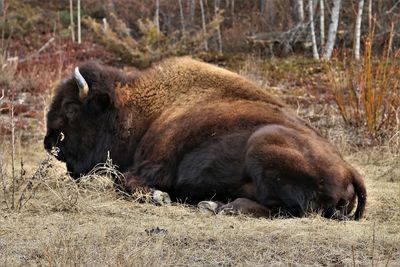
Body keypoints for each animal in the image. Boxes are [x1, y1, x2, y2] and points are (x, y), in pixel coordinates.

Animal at [43, 57, 366, 220]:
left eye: (71, 108)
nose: (49, 143)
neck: (144, 110)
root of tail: (351, 170)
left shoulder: (153, 167)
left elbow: (123, 182)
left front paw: (160, 197)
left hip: (263, 145)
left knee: (286, 210)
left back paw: (217, 206)